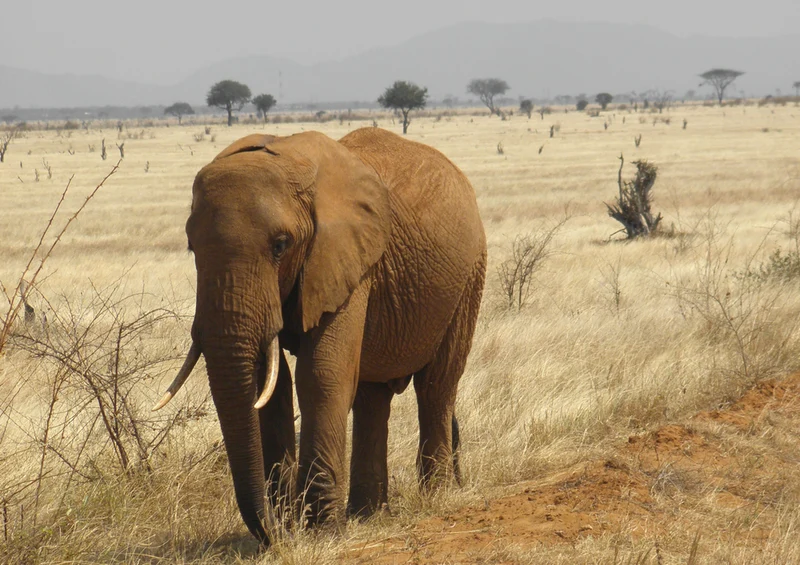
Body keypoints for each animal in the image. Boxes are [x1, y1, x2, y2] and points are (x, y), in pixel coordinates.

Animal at [153, 127, 487, 545]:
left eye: (280, 245)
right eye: (191, 247)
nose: (278, 532)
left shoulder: (349, 260)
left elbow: (321, 374)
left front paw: (322, 532)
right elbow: (271, 386)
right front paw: (295, 526)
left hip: (468, 276)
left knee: (436, 385)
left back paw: (435, 498)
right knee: (372, 398)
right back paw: (367, 515)